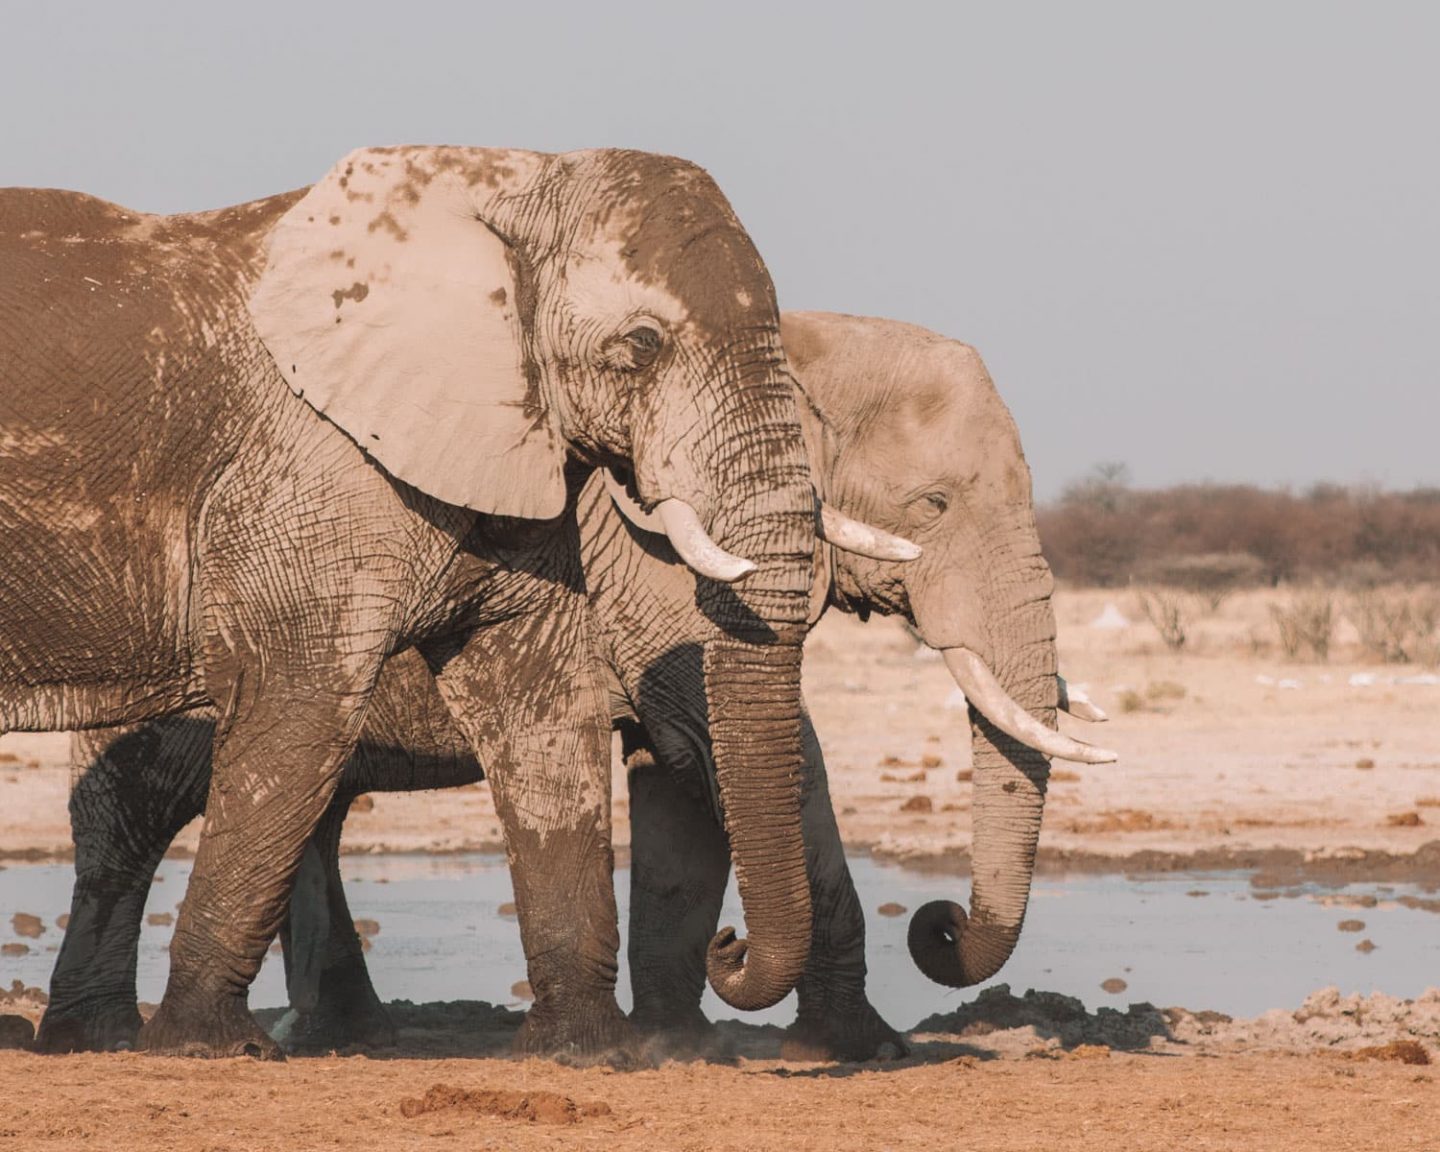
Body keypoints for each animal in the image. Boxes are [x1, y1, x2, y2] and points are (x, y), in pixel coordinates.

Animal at [0, 148, 904, 1059]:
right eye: (641, 346)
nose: (733, 944)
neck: (507, 185)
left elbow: (539, 710)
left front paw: (588, 1052)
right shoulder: (315, 464)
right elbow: (299, 698)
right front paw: (207, 1049)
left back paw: (97, 1038)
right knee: (141, 806)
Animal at [36, 308, 1111, 1059]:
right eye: (934, 505)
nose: (941, 924)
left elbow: (683, 780)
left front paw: (686, 1045)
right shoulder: (659, 558)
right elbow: (744, 753)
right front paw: (857, 1050)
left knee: (309, 809)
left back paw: (348, 1035)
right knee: (142, 807)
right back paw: (101, 1036)